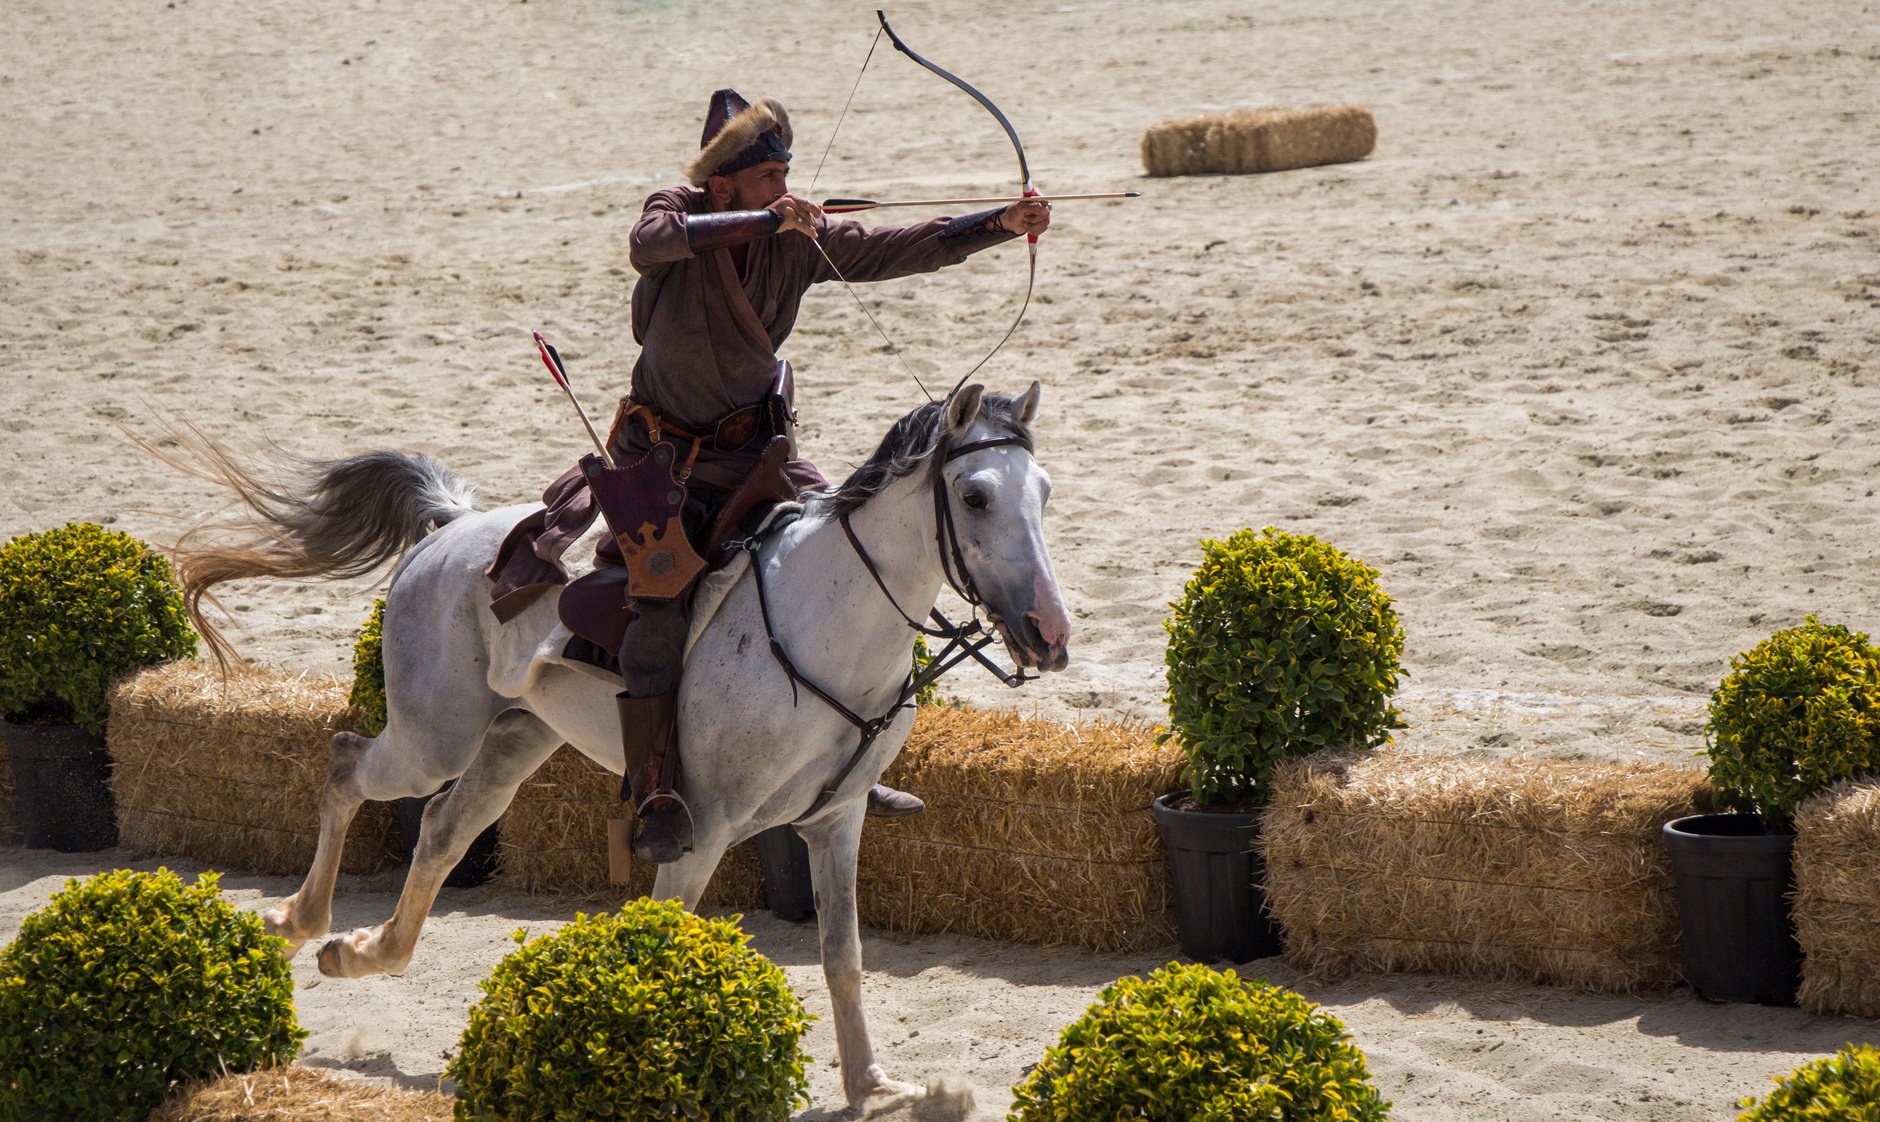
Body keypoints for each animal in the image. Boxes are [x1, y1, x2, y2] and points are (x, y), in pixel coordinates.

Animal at [169, 383, 1075, 1105]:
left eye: (1045, 491)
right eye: (975, 496)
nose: (1049, 633)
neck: (829, 620)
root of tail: (451, 528)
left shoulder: (836, 819)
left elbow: (842, 953)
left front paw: (873, 1085)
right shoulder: (701, 833)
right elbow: (667, 939)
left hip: (515, 736)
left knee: (442, 830)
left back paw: (364, 951)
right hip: (433, 738)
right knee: (346, 765)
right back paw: (301, 918)